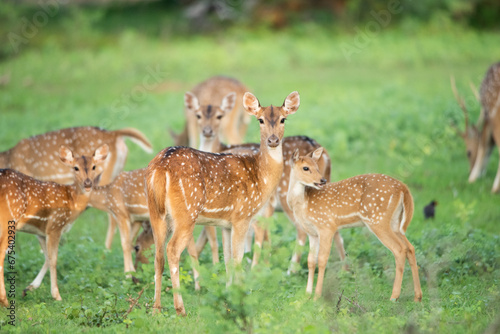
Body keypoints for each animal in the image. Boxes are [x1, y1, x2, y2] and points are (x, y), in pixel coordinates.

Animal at [0, 145, 109, 306]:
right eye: (75, 168)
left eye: (94, 166)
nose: (88, 183)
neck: (72, 202)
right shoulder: (55, 225)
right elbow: (54, 259)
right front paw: (57, 295)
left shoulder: (40, 231)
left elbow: (47, 257)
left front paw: (29, 288)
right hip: (10, 219)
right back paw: (5, 300)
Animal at [146, 90, 298, 314]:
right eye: (260, 120)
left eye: (283, 119)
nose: (273, 140)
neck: (260, 176)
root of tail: (160, 167)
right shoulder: (242, 216)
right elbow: (238, 258)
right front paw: (240, 299)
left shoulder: (226, 224)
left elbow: (227, 260)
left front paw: (228, 296)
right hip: (186, 213)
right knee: (172, 250)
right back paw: (180, 308)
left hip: (155, 212)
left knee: (158, 255)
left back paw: (156, 308)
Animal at [286, 149, 422, 302]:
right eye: (306, 168)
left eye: (317, 166)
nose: (322, 180)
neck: (303, 204)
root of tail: (403, 188)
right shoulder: (312, 233)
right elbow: (311, 260)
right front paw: (307, 294)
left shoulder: (326, 226)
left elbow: (322, 260)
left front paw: (316, 296)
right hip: (395, 223)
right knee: (410, 248)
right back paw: (417, 297)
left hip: (378, 220)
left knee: (399, 249)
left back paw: (394, 296)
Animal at [452, 62, 500, 193]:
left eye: (468, 153)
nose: (469, 172)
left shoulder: (489, 115)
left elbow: (484, 144)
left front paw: (472, 179)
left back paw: (494, 189)